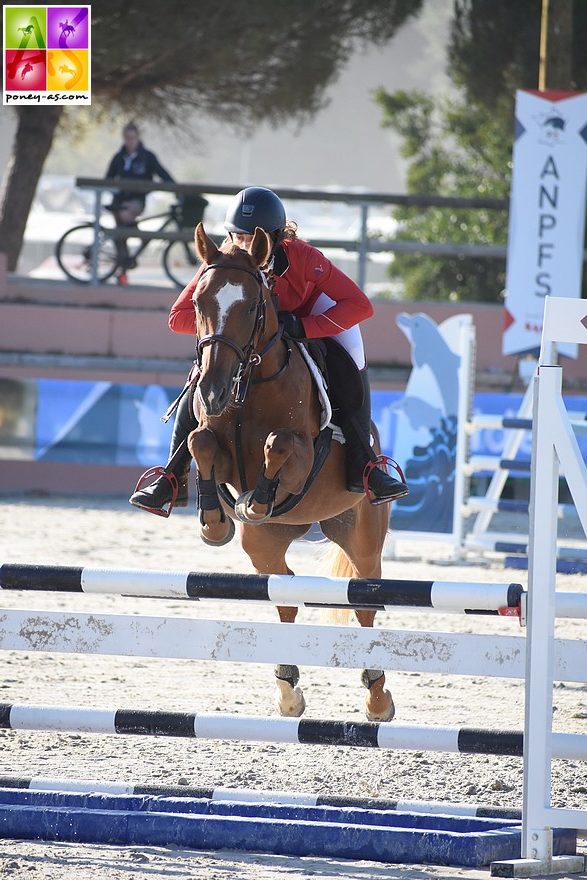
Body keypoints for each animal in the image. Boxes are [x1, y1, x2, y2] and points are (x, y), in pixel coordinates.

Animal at [188, 225, 396, 720]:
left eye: (251, 306)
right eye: (198, 303)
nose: (212, 390)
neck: (250, 385)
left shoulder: (303, 461)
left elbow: (279, 445)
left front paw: (258, 499)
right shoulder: (216, 442)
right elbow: (200, 441)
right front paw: (214, 520)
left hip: (362, 533)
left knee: (364, 602)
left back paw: (377, 698)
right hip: (264, 545)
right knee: (284, 591)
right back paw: (288, 691)